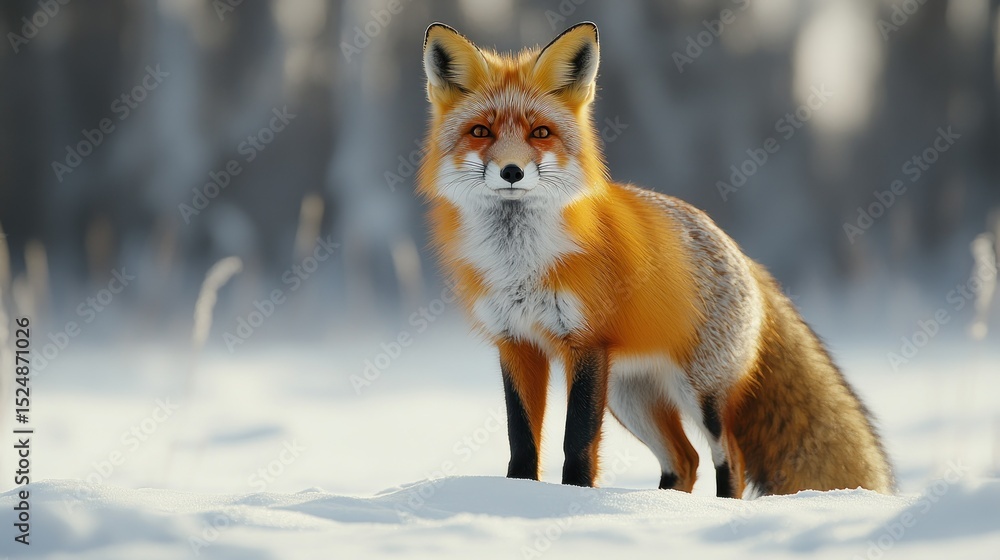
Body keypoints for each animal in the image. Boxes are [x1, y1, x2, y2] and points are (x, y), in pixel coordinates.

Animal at [416, 21, 894, 496]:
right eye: (481, 132)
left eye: (541, 133)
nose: (511, 171)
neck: (521, 264)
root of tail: (741, 253)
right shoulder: (516, 343)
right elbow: (521, 441)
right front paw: (520, 497)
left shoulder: (586, 344)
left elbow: (577, 443)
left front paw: (573, 499)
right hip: (628, 397)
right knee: (685, 459)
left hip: (701, 393)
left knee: (730, 458)